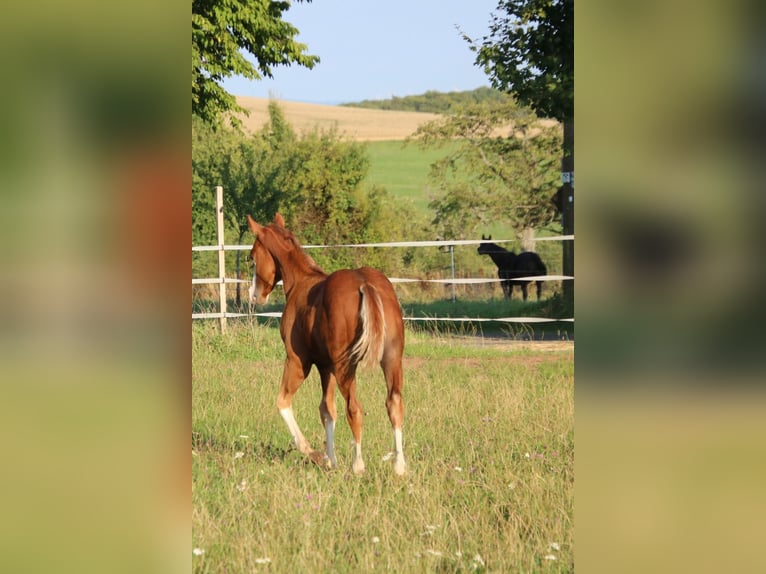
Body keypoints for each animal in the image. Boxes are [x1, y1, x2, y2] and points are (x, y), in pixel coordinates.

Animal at [247, 213, 407, 476]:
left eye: (252, 257)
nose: (254, 295)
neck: (301, 282)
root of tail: (365, 284)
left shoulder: (298, 361)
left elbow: (283, 402)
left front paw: (317, 455)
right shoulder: (325, 366)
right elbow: (327, 411)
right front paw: (331, 459)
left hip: (345, 366)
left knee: (354, 408)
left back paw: (358, 465)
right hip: (392, 358)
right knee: (394, 404)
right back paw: (399, 465)